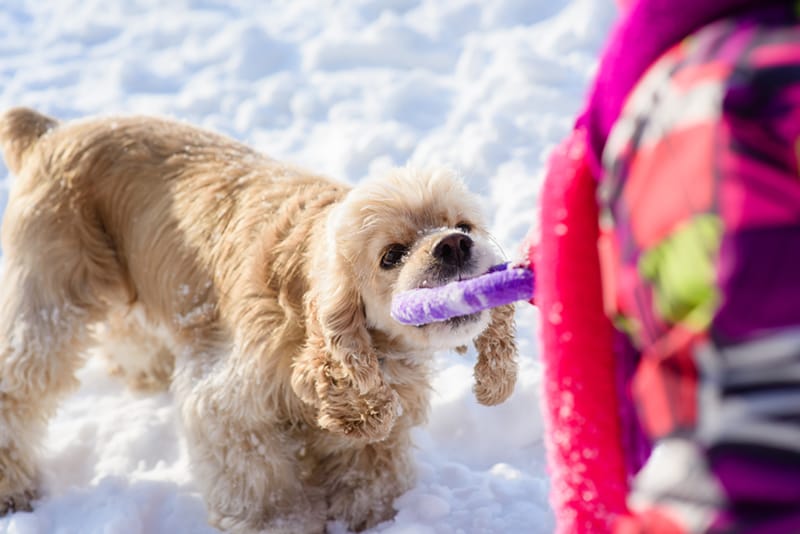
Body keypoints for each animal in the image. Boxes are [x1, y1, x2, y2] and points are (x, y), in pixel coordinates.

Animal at [0, 108, 520, 532]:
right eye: (391, 255)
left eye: (464, 225)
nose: (453, 244)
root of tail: (51, 131)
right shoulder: (229, 408)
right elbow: (263, 485)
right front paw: (285, 523)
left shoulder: (378, 418)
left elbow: (372, 470)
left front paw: (377, 518)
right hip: (47, 296)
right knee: (17, 387)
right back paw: (14, 488)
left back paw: (148, 371)